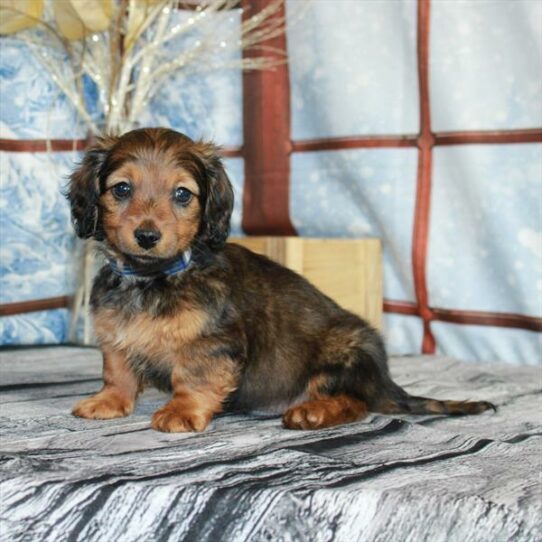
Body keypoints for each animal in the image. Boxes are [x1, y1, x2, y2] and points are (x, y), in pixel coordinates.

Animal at [68, 127, 498, 434]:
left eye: (182, 195)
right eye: (122, 188)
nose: (147, 236)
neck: (152, 278)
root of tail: (384, 380)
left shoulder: (211, 344)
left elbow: (193, 376)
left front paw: (182, 411)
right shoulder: (114, 334)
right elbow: (118, 370)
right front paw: (109, 401)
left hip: (342, 353)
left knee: (356, 403)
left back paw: (313, 413)